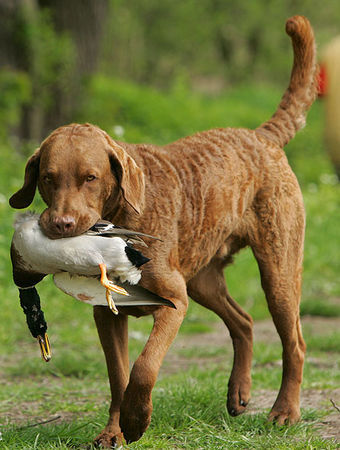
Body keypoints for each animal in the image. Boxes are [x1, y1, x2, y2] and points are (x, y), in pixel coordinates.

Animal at [10, 15, 318, 448]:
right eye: (47, 178)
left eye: (90, 177)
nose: (60, 225)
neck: (121, 218)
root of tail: (262, 136)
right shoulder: (107, 315)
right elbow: (118, 377)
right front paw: (114, 431)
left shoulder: (174, 301)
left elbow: (144, 367)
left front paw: (137, 421)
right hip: (203, 279)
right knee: (243, 321)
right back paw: (238, 394)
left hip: (277, 272)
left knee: (295, 343)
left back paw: (284, 412)